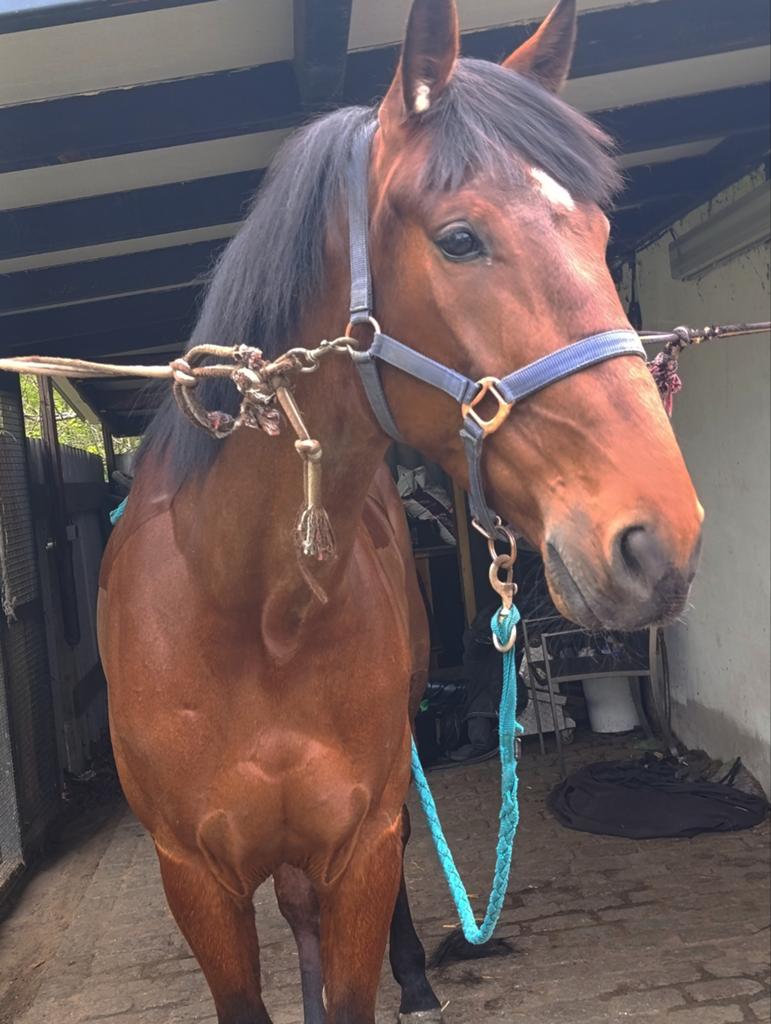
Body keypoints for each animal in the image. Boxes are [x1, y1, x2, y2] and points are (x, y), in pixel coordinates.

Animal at [97, 1, 704, 1021]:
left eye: (597, 232)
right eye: (458, 239)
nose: (660, 541)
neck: (252, 612)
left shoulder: (360, 845)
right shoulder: (195, 879)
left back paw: (417, 972)